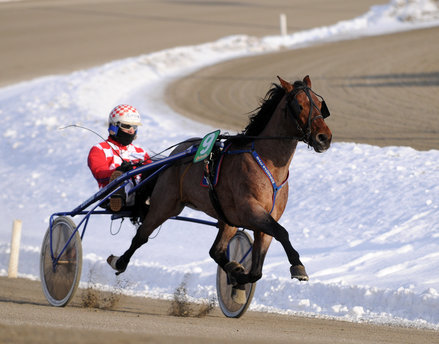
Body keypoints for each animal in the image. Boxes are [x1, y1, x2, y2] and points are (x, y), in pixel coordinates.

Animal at [107, 75, 334, 300]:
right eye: (299, 105)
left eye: (319, 104)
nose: (324, 137)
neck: (267, 163)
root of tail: (175, 154)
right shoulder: (251, 210)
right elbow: (282, 233)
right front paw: (298, 267)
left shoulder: (264, 220)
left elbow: (256, 271)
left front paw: (238, 276)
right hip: (165, 205)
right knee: (141, 236)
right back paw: (119, 261)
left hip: (227, 219)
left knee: (215, 251)